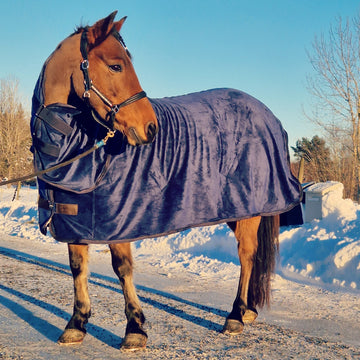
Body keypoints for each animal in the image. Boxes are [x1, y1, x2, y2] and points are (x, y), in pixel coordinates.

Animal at [33, 11, 282, 352]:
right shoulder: (75, 218)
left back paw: (235, 316)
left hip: (250, 210)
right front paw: (76, 324)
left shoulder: (119, 222)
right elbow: (77, 268)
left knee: (246, 255)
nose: (150, 128)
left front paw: (135, 329)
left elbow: (122, 268)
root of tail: (266, 112)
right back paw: (249, 311)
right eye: (116, 66)